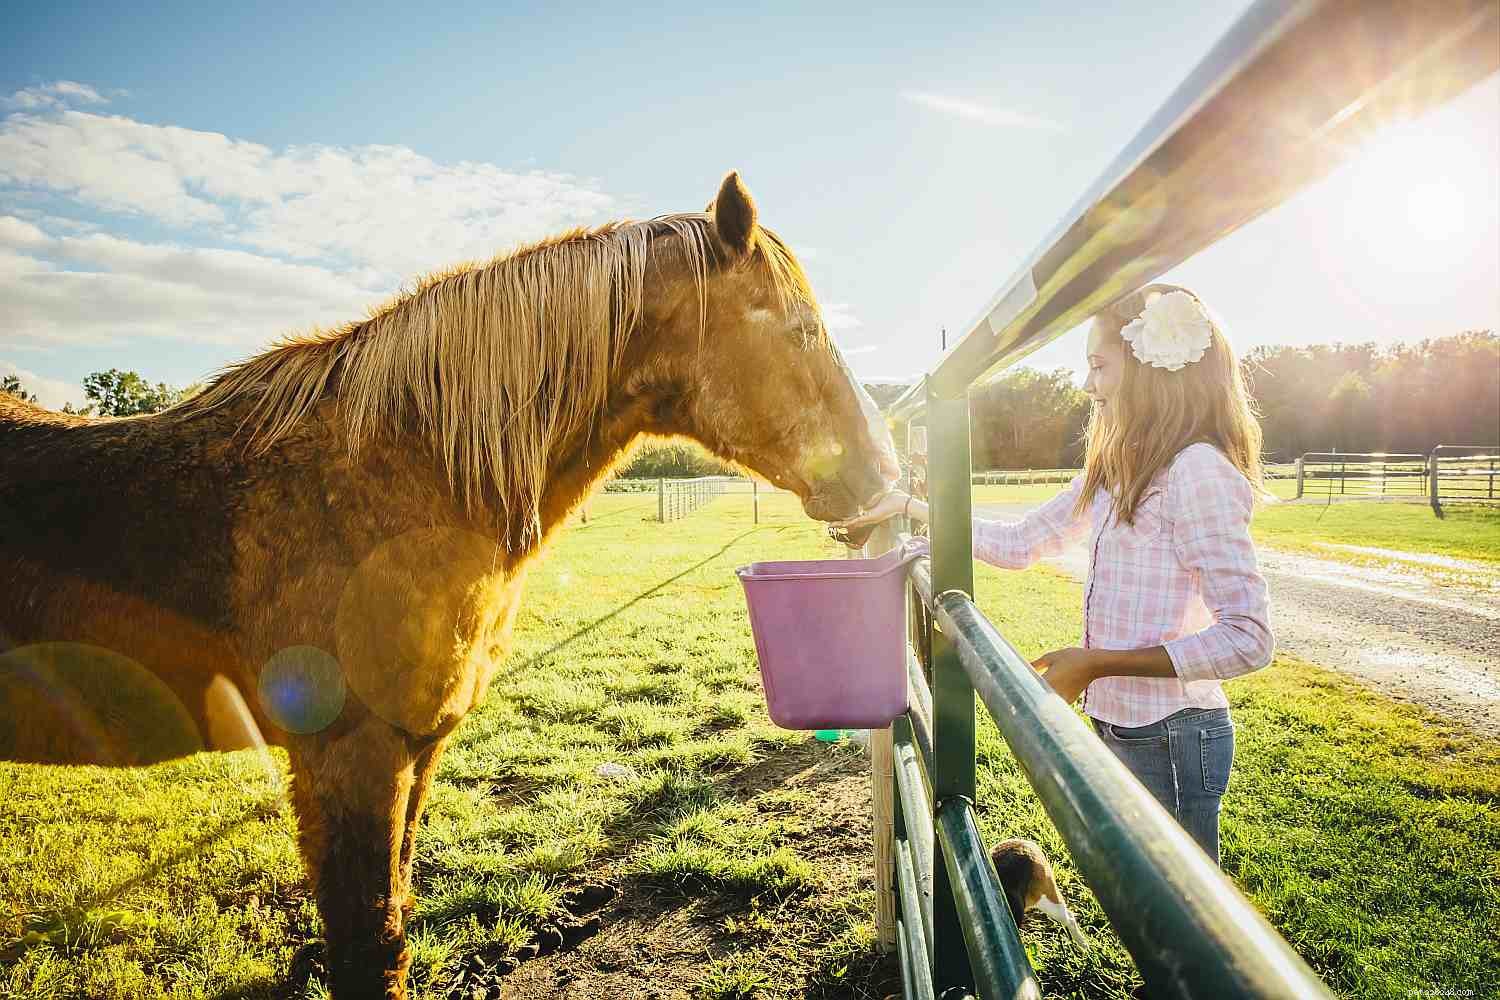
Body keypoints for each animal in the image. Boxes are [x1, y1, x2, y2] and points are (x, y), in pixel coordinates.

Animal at [0, 171, 899, 999]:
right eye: (804, 329)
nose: (887, 476)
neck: (391, 482)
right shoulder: (351, 757)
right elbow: (368, 946)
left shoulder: (415, 747)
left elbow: (392, 915)